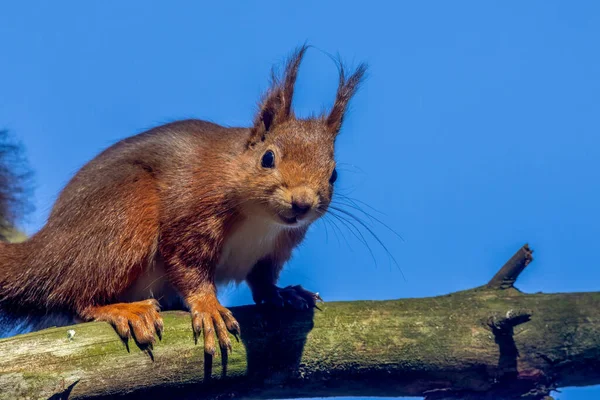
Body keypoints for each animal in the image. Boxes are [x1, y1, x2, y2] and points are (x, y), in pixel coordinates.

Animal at [0, 45, 366, 358]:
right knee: (76, 297)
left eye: (334, 175)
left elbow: (261, 279)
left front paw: (282, 293)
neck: (261, 219)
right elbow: (187, 266)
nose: (302, 203)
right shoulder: (190, 215)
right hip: (125, 214)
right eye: (268, 158)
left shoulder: (276, 247)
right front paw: (209, 307)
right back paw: (122, 309)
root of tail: (47, 250)